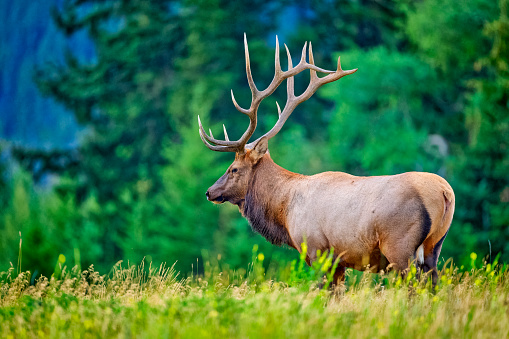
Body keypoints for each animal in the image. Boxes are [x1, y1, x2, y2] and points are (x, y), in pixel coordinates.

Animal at [196, 35, 454, 284]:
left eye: (233, 168)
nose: (209, 192)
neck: (285, 211)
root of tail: (445, 192)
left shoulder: (318, 250)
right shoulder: (339, 262)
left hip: (399, 246)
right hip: (434, 248)